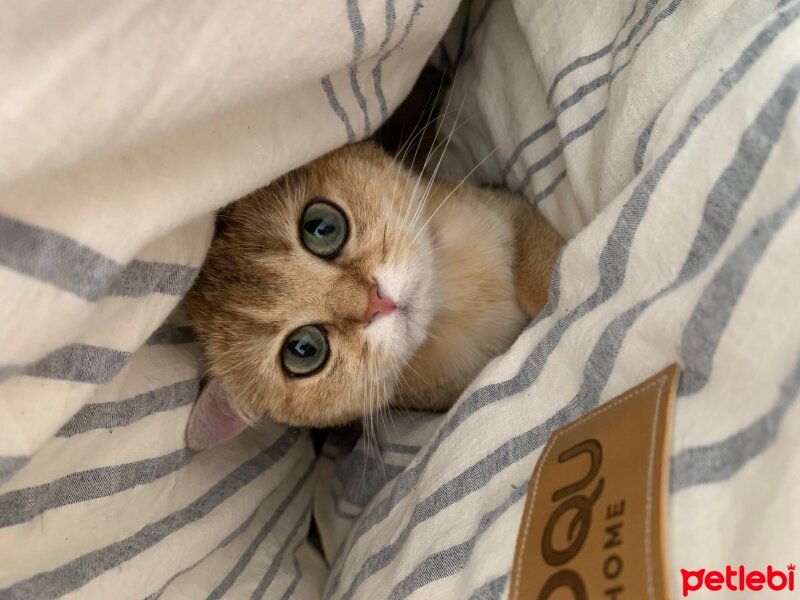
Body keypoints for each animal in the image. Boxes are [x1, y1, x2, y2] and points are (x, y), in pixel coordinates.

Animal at [187, 142, 564, 450]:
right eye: (303, 350)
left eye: (321, 227)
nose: (376, 302)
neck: (454, 302)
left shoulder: (506, 206)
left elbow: (538, 260)